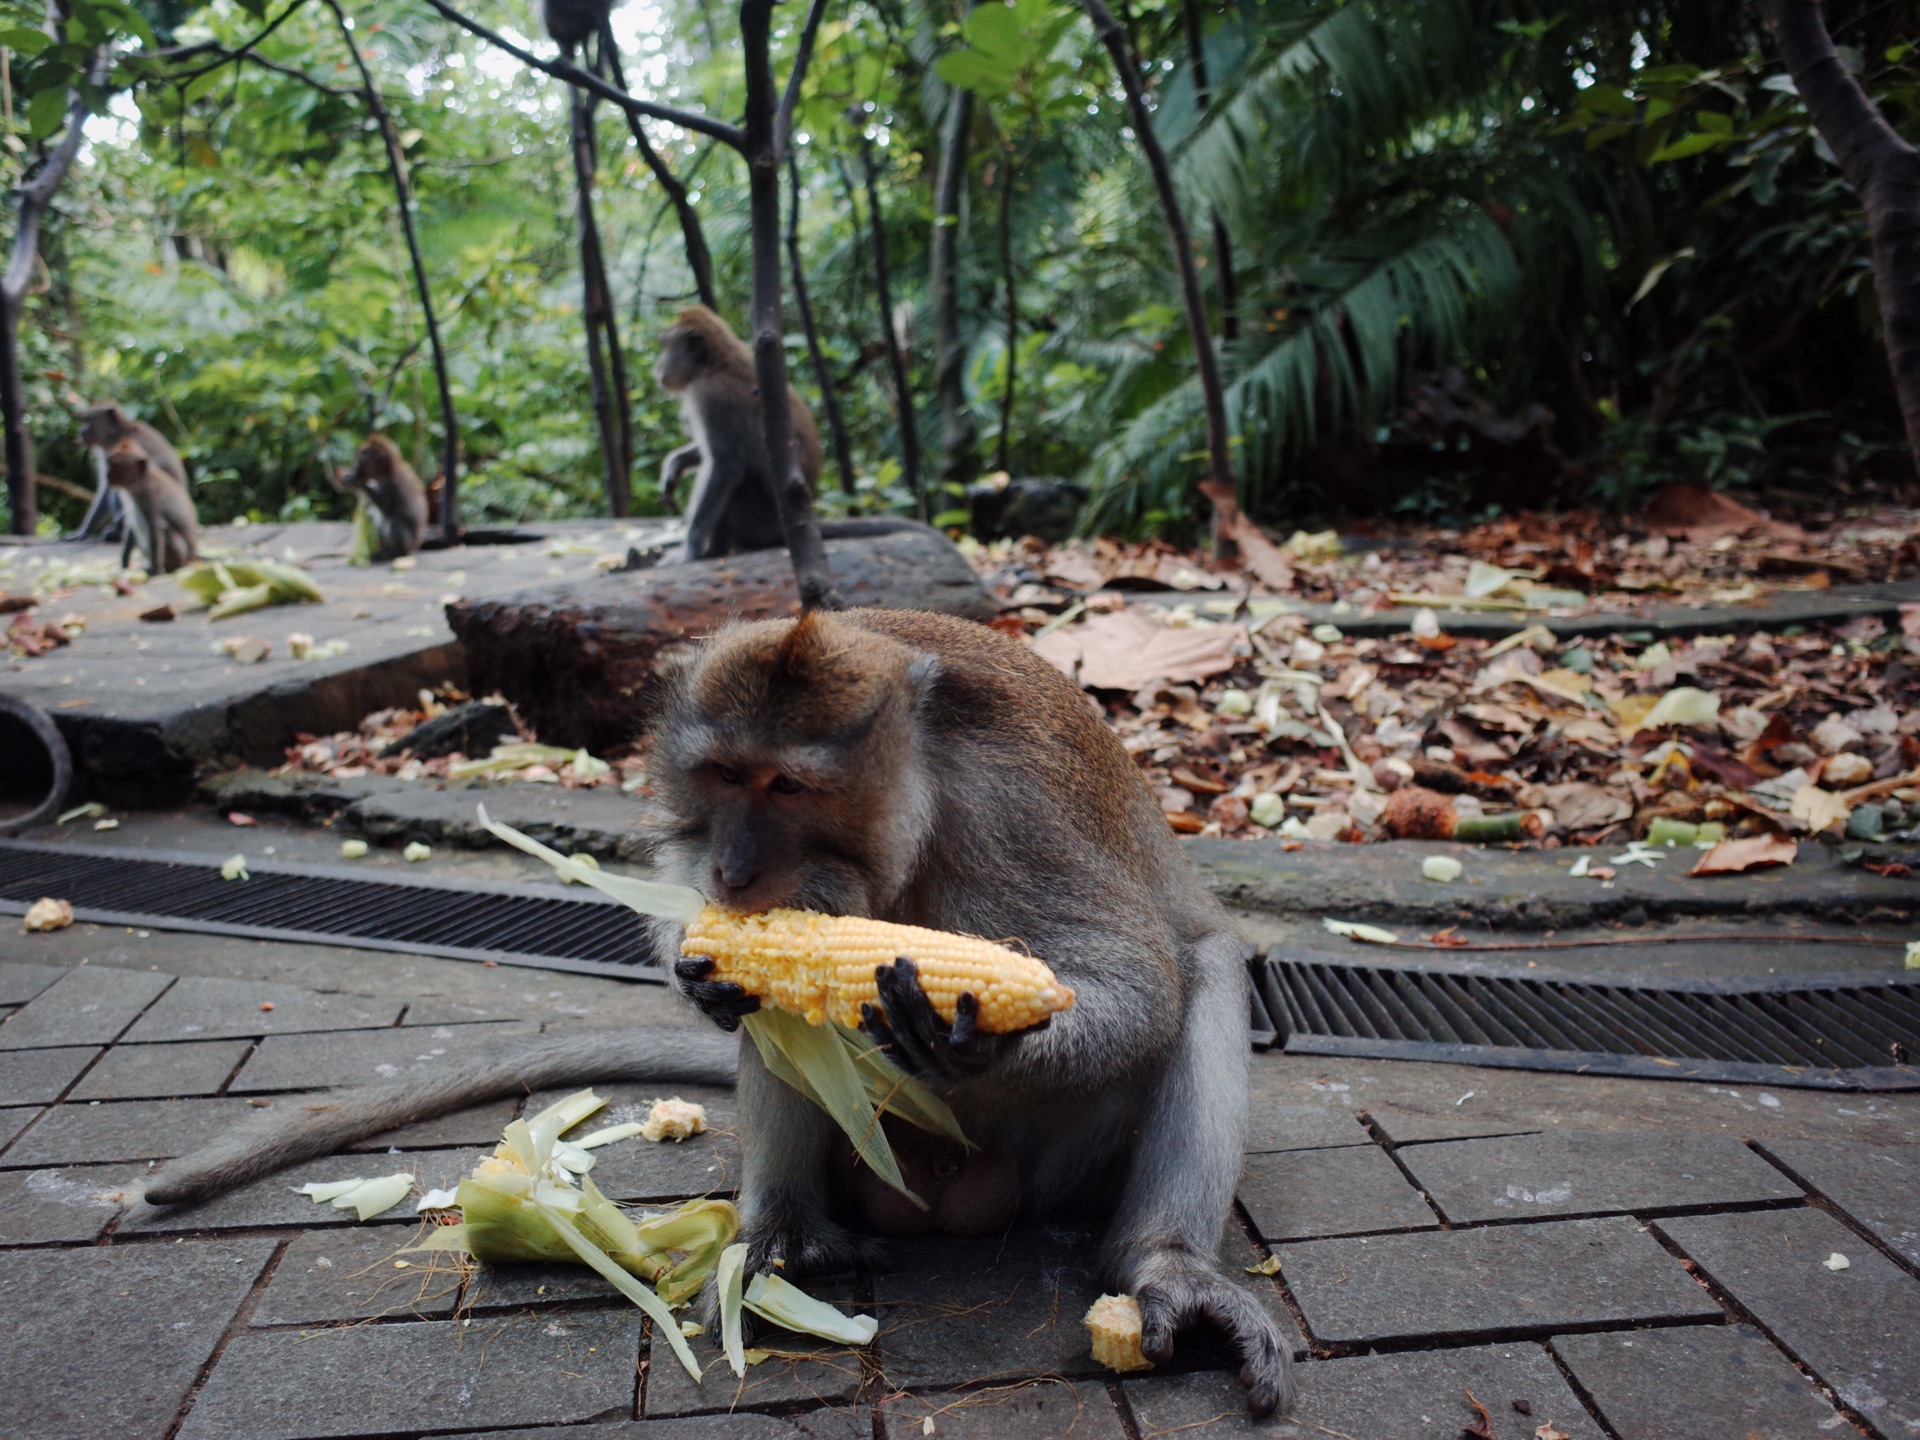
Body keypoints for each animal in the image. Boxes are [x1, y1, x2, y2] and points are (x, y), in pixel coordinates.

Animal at [105, 439, 198, 576]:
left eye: (114, 465)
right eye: (110, 463)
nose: (107, 474)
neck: (138, 482)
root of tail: (192, 559)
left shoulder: (150, 494)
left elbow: (155, 526)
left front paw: (157, 571)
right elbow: (130, 526)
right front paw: (124, 563)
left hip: (181, 555)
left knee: (166, 531)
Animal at [145, 610, 1290, 1420]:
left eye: (789, 786)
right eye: (724, 777)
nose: (739, 869)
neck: (914, 802)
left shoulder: (1019, 805)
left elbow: (1137, 982)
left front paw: (966, 1041)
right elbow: (702, 923)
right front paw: (703, 965)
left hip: (1060, 1167)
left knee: (1207, 969)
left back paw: (1165, 1266)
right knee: (782, 1029)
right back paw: (781, 1231)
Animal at [336, 432, 430, 560]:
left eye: (360, 461)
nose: (354, 469)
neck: (387, 471)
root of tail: (415, 546)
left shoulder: (393, 484)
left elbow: (388, 508)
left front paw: (357, 482)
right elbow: (371, 506)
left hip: (409, 543)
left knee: (396, 522)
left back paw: (398, 553)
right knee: (373, 517)